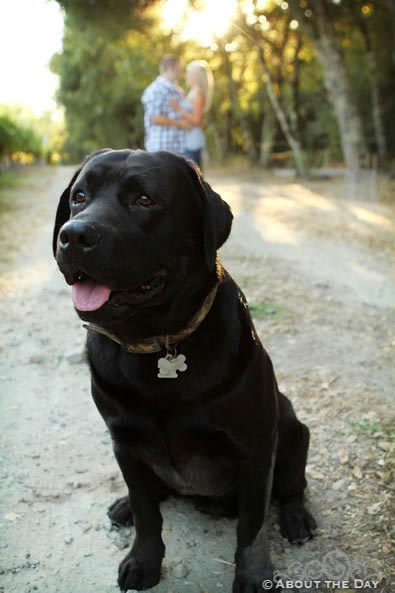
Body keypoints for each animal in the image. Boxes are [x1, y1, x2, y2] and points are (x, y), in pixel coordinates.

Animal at [52, 149, 318, 592]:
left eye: (144, 200)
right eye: (79, 197)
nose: (73, 236)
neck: (158, 342)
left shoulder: (255, 450)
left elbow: (252, 527)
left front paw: (254, 575)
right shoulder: (123, 441)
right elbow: (147, 513)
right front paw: (143, 559)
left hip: (295, 430)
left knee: (294, 486)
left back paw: (296, 517)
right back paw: (124, 505)